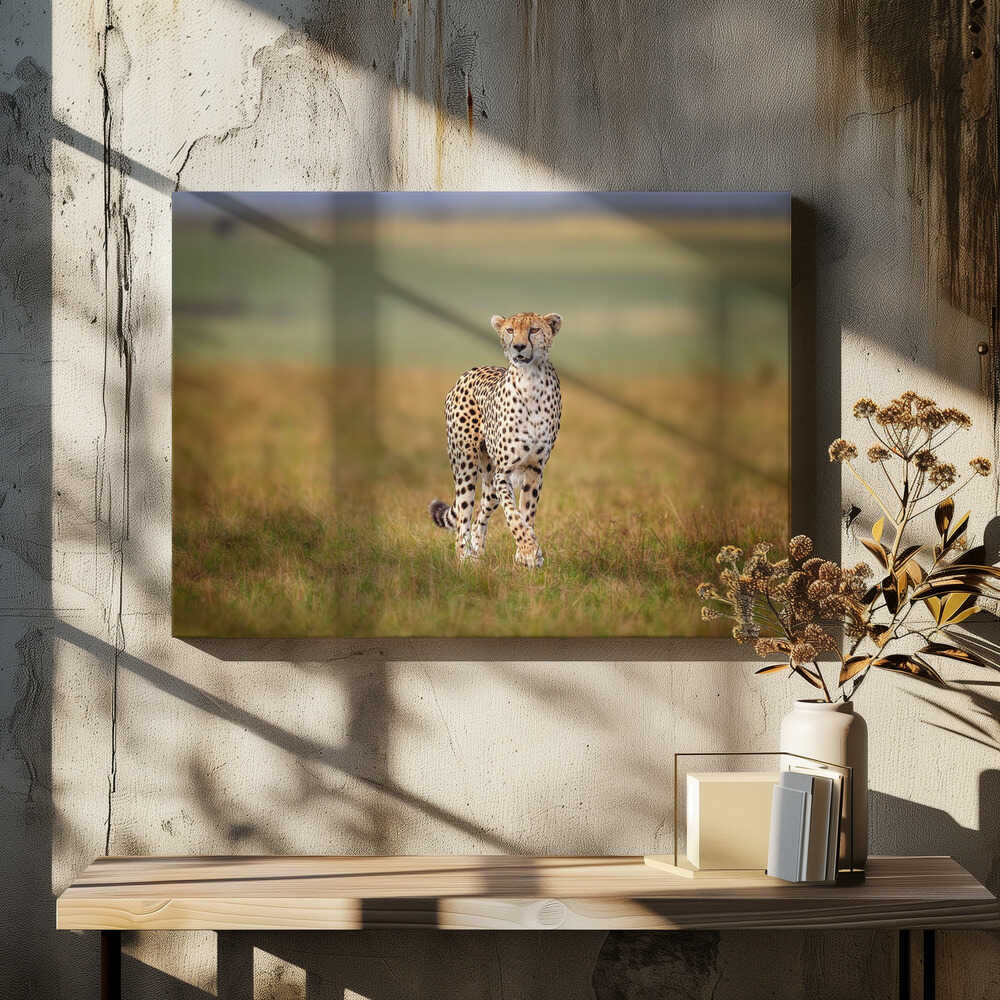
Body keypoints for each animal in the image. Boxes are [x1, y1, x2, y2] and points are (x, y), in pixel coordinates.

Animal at [428, 311, 563, 567]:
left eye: (534, 330)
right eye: (510, 330)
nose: (518, 346)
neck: (531, 379)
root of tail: (469, 372)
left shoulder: (535, 469)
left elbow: (526, 513)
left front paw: (525, 555)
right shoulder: (505, 472)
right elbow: (513, 516)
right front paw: (529, 551)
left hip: (490, 482)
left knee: (480, 516)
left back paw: (477, 553)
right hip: (466, 467)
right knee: (463, 519)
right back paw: (464, 560)